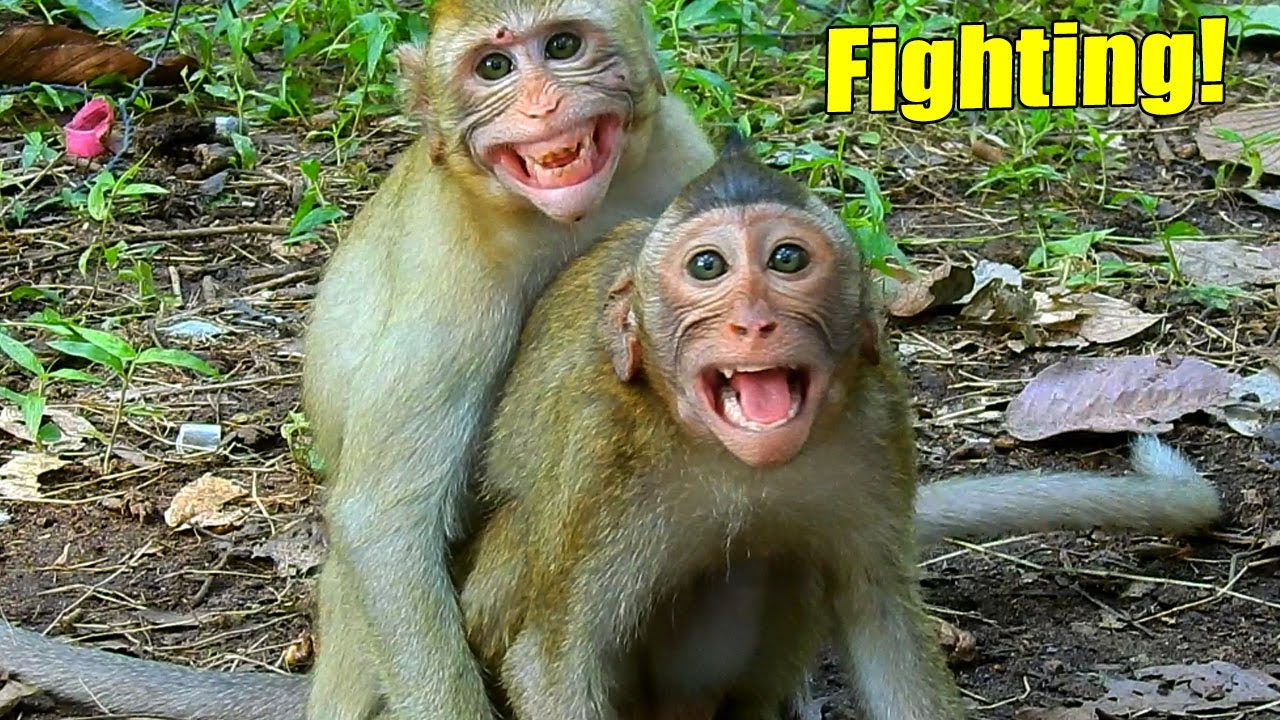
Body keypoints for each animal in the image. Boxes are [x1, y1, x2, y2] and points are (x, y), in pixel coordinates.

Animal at [0, 135, 1221, 720]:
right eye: (707, 269)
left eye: (787, 259)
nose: (750, 317)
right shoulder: (604, 468)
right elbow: (552, 654)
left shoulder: (876, 438)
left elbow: (878, 620)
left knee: (779, 562)